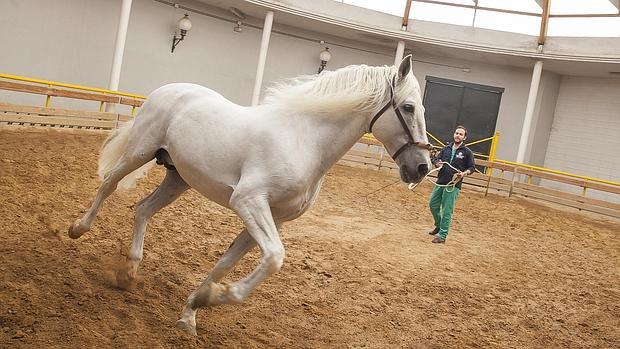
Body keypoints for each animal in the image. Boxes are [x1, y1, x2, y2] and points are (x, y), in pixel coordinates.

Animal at [68, 55, 428, 334]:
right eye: (409, 107)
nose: (422, 168)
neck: (303, 140)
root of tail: (168, 89)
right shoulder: (248, 202)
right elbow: (274, 258)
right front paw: (211, 299)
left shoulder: (274, 218)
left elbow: (225, 263)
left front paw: (192, 311)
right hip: (139, 153)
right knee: (109, 184)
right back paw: (78, 229)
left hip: (178, 178)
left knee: (143, 209)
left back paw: (129, 273)